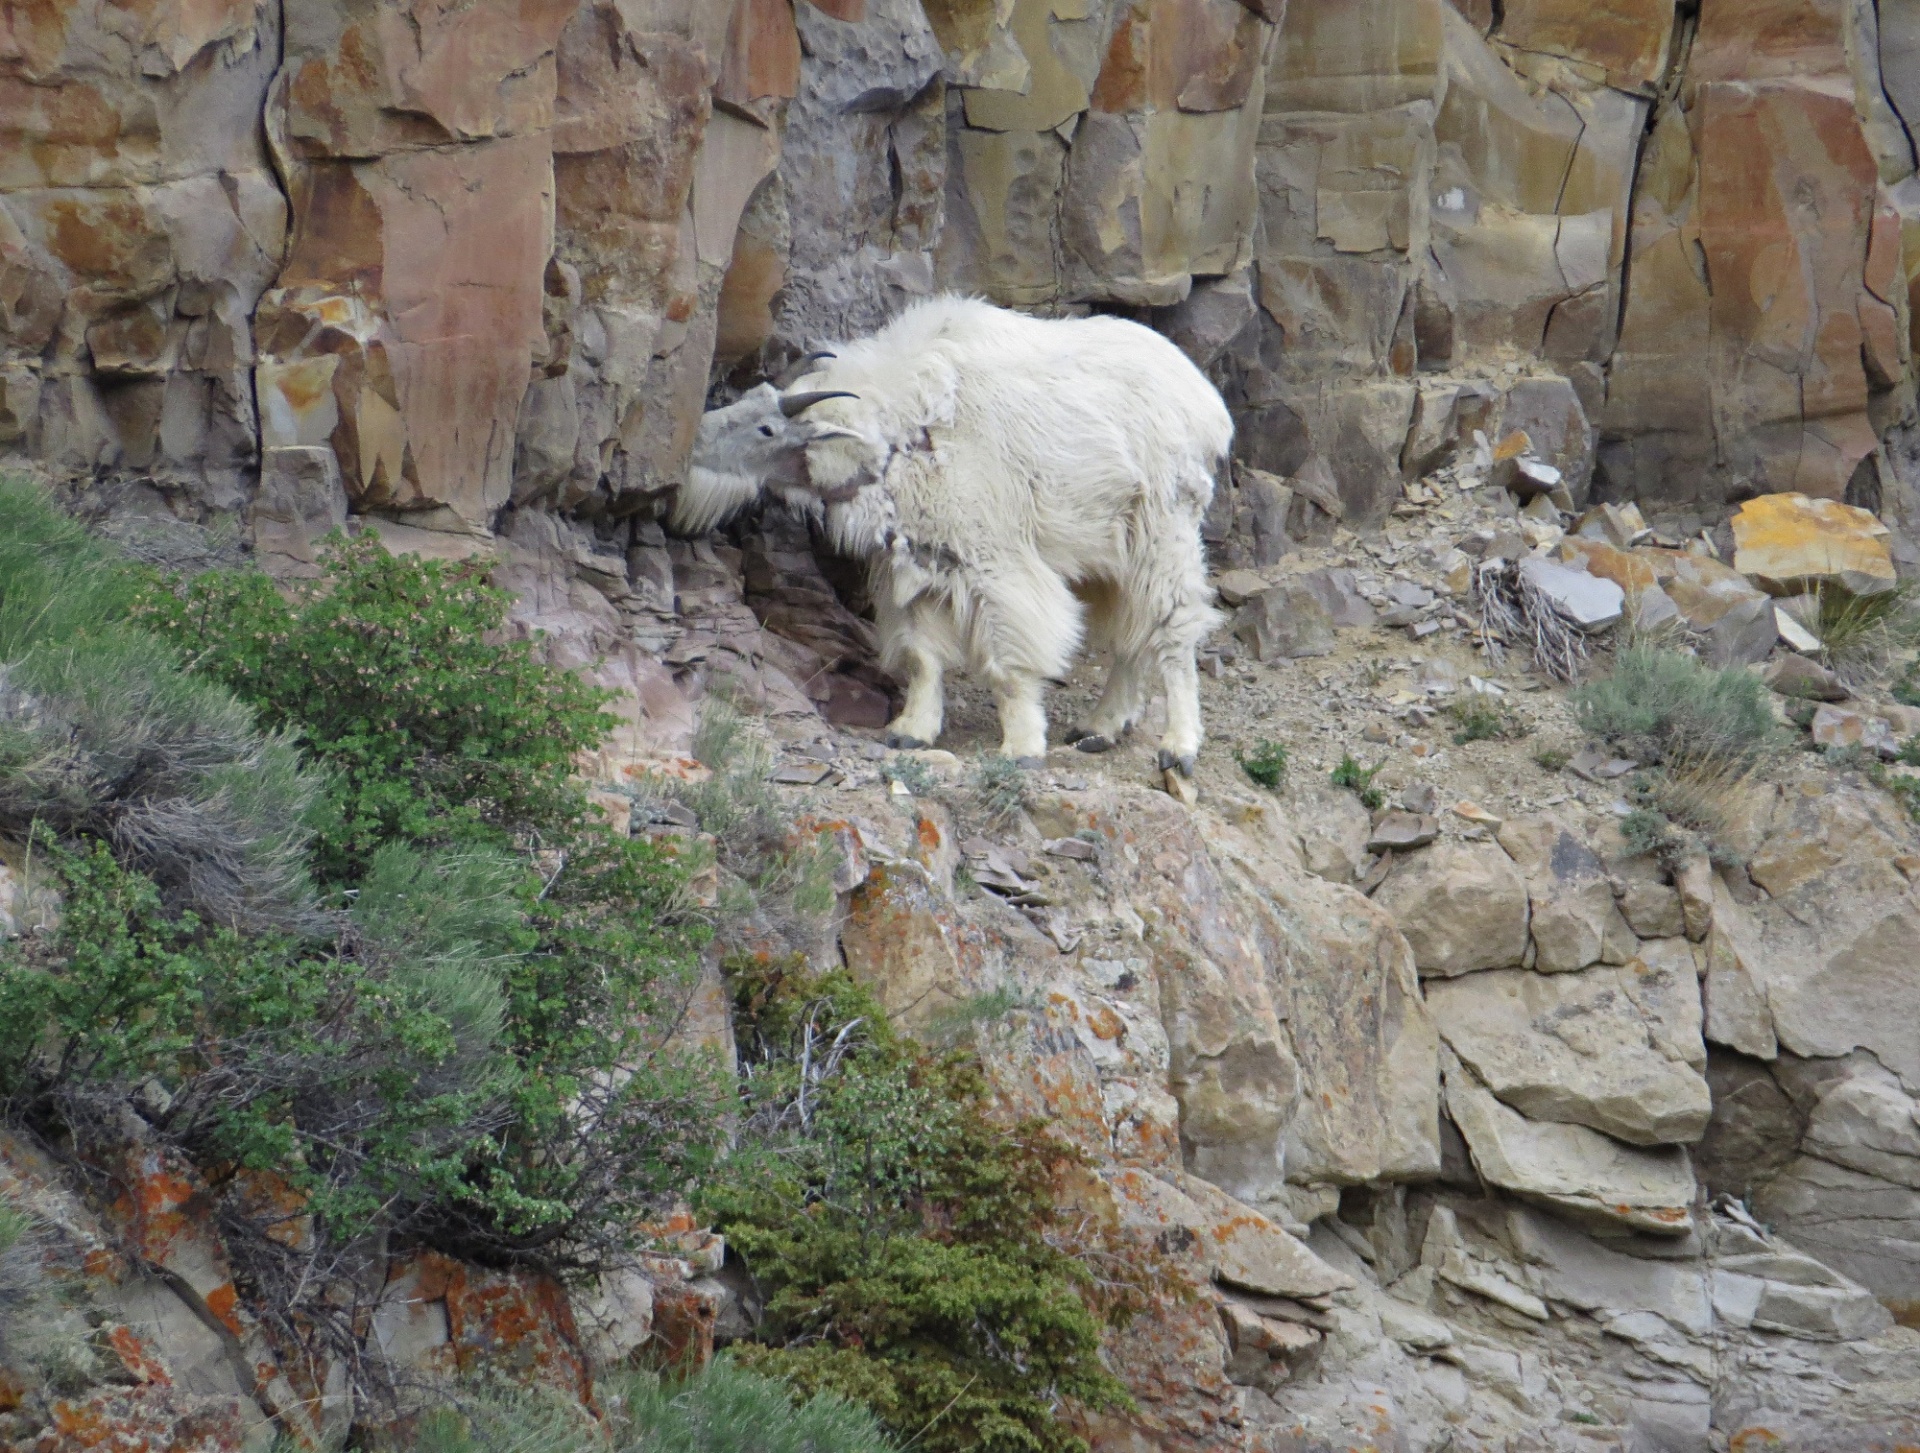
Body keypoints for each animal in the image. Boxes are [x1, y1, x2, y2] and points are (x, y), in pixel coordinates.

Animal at [675, 293, 1228, 771]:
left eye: (767, 429)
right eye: (749, 400)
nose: (693, 443)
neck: (898, 436)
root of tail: (1207, 404)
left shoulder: (994, 560)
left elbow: (1010, 663)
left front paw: (1021, 747)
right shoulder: (916, 562)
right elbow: (921, 655)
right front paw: (911, 731)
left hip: (1163, 530)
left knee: (1173, 627)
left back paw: (1178, 745)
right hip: (1108, 548)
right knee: (1132, 633)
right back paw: (1102, 727)